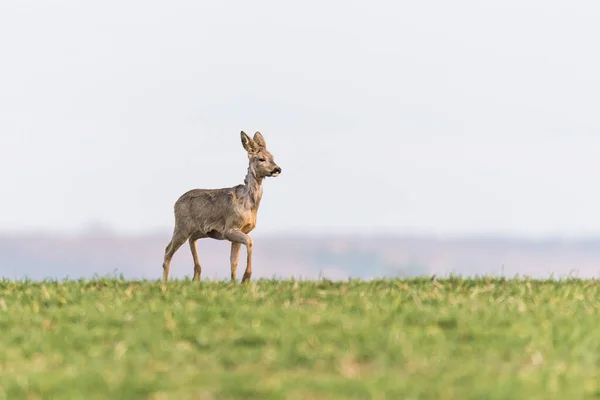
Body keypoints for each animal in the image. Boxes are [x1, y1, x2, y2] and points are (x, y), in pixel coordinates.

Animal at [163, 130, 282, 282]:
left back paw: (196, 277)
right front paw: (245, 278)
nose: (277, 169)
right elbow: (249, 242)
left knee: (191, 240)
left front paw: (234, 282)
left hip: (201, 231)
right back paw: (165, 282)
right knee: (168, 250)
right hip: (182, 226)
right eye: (262, 159)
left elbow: (233, 261)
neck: (248, 205)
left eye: (272, 157)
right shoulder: (229, 228)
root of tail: (175, 203)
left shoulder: (241, 231)